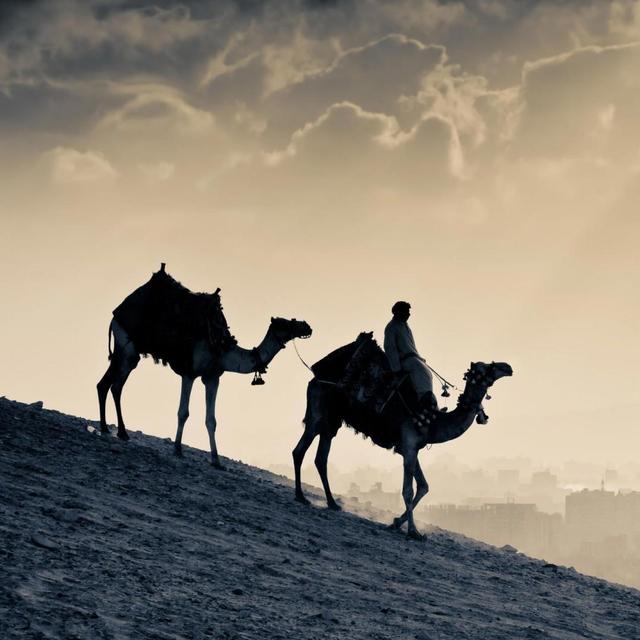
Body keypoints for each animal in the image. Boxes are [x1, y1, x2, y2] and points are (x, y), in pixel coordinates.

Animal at [97, 266, 312, 467]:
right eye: (285, 323)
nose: (307, 326)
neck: (221, 346)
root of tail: (117, 313)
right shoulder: (189, 372)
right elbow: (183, 412)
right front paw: (177, 449)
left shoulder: (212, 377)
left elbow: (211, 420)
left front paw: (216, 461)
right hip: (127, 346)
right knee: (114, 385)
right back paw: (115, 430)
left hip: (126, 351)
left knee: (108, 384)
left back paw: (113, 430)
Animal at [292, 335, 512, 539]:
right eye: (488, 368)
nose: (508, 367)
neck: (433, 421)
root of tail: (315, 375)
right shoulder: (409, 445)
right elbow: (408, 490)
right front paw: (413, 532)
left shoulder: (411, 448)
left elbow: (423, 486)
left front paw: (396, 522)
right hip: (319, 408)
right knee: (300, 450)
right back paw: (301, 496)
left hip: (332, 419)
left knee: (321, 457)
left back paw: (332, 503)